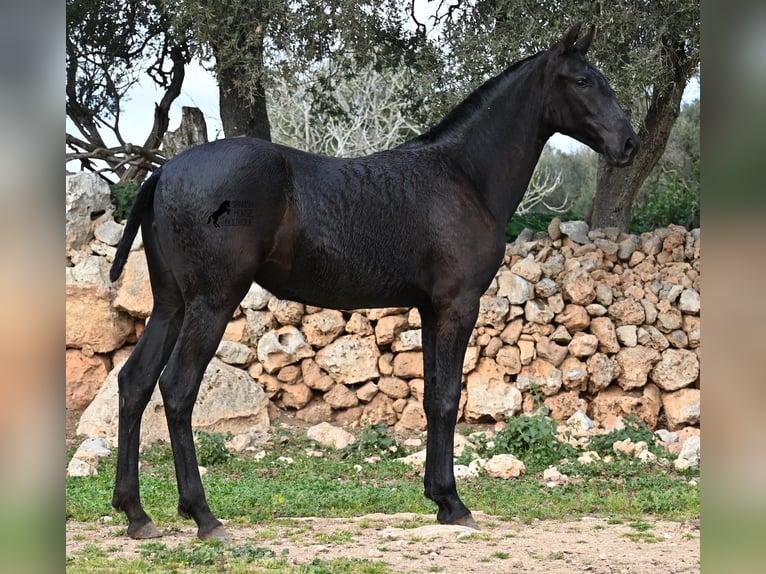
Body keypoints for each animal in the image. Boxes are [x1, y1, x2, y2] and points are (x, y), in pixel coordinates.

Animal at [108, 23, 640, 544]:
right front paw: (454, 503)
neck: (463, 176)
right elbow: (447, 399)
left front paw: (439, 499)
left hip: (172, 304)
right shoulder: (457, 305)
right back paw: (203, 515)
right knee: (177, 388)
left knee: (135, 381)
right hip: (212, 302)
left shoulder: (430, 309)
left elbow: (432, 397)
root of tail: (164, 173)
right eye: (583, 81)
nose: (630, 144)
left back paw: (136, 513)